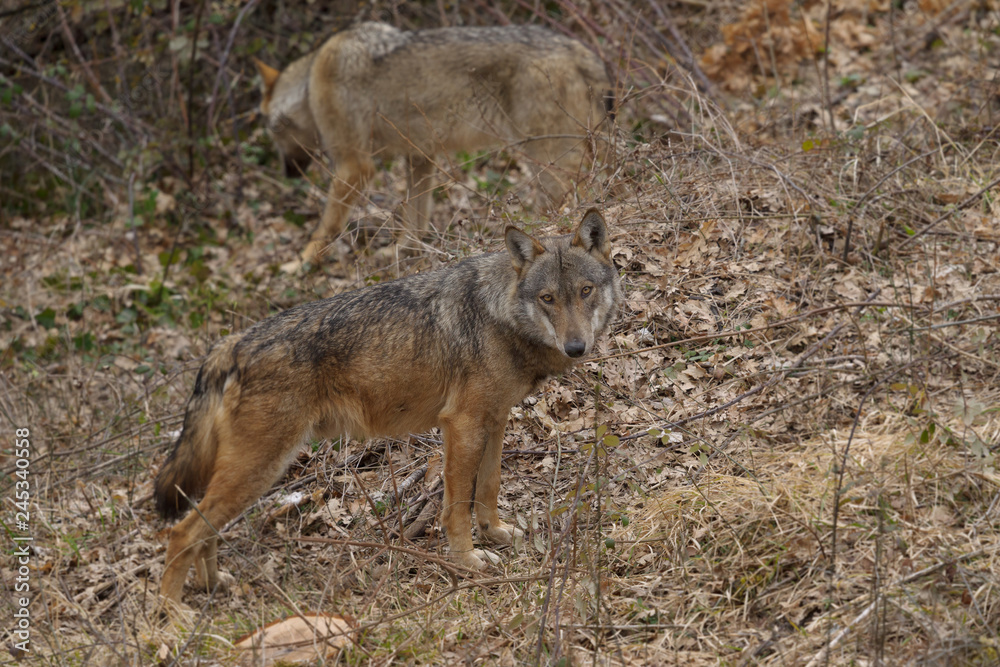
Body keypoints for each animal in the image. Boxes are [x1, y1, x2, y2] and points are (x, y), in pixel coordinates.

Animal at [152, 209, 616, 604]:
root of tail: (232, 343)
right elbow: (456, 508)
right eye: (548, 298)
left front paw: (496, 533)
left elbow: (488, 488)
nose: (576, 348)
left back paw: (213, 585)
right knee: (181, 533)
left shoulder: (496, 419)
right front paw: (467, 561)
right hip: (259, 469)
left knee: (204, 532)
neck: (499, 314)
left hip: (252, 475)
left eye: (585, 291)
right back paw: (173, 619)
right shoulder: (461, 424)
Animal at [254, 21, 612, 260]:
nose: (287, 174)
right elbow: (415, 218)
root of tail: (583, 51)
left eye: (270, 130)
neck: (308, 86)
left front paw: (301, 263)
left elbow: (326, 226)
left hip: (547, 160)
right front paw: (402, 252)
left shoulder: (354, 167)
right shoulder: (421, 157)